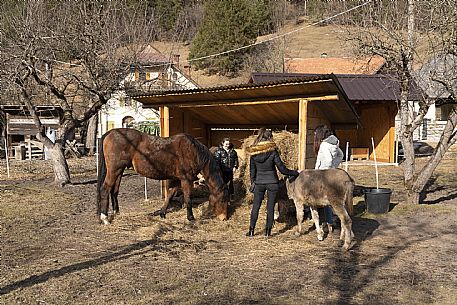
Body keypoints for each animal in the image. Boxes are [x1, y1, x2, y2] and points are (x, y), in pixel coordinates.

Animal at [96, 127, 228, 224]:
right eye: (222, 199)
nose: (224, 218)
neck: (193, 152)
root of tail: (111, 132)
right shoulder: (186, 179)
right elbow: (188, 198)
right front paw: (190, 217)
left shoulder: (176, 179)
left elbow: (170, 195)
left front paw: (162, 213)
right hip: (114, 170)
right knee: (105, 189)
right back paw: (105, 218)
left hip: (120, 170)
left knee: (114, 190)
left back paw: (116, 213)